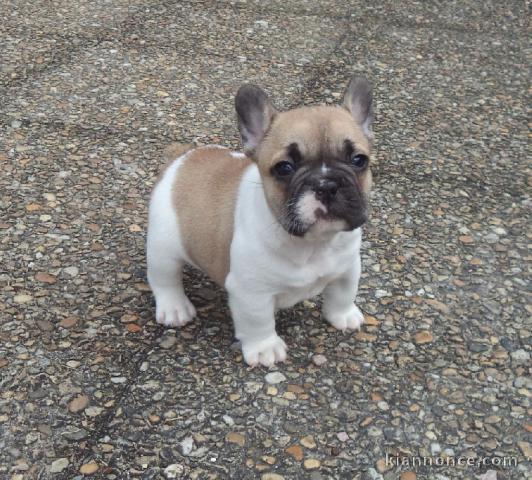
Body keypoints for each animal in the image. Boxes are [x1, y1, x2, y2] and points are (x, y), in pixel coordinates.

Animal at [148, 76, 374, 368]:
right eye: (284, 167)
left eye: (359, 160)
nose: (326, 185)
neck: (313, 243)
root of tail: (181, 159)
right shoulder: (250, 292)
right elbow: (258, 321)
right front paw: (266, 348)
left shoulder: (348, 267)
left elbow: (344, 294)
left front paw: (344, 316)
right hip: (163, 246)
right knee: (164, 278)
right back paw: (175, 308)